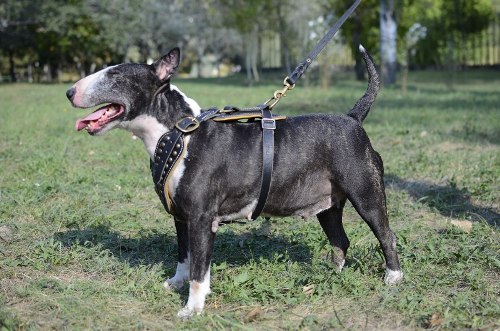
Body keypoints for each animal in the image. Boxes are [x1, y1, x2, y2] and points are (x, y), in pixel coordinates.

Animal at [66, 45, 402, 318]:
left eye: (114, 75)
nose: (69, 92)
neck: (177, 133)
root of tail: (353, 118)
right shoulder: (181, 217)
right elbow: (183, 255)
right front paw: (176, 282)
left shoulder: (202, 219)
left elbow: (200, 269)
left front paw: (192, 309)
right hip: (328, 205)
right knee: (340, 240)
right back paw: (331, 274)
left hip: (366, 194)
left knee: (386, 234)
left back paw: (393, 278)